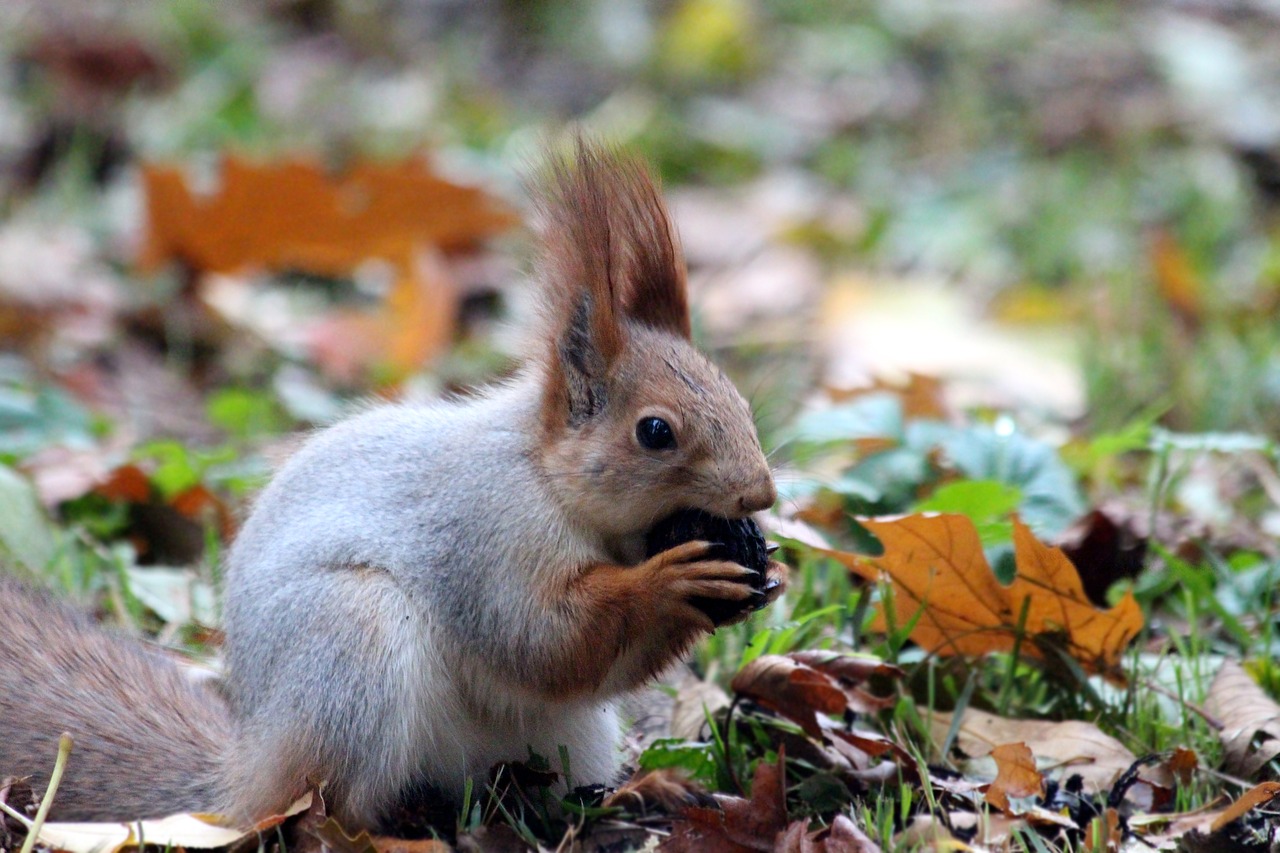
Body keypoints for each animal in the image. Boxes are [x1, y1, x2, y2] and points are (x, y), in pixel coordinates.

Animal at [0, 140, 783, 829]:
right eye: (655, 431)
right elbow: (540, 637)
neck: (552, 483)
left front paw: (758, 571)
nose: (761, 496)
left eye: (740, 400)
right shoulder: (487, 534)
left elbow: (587, 664)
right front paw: (671, 581)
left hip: (563, 735)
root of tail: (245, 775)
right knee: (326, 801)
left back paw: (629, 794)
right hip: (350, 648)